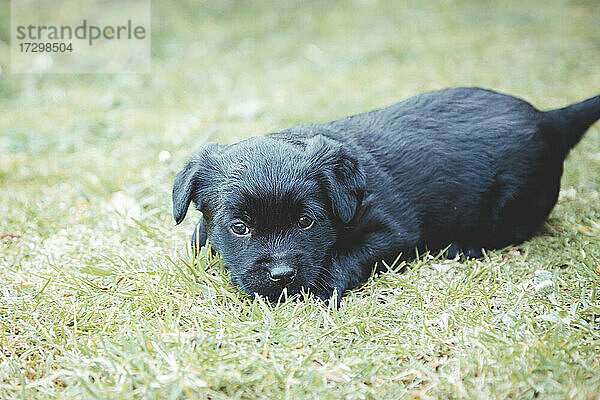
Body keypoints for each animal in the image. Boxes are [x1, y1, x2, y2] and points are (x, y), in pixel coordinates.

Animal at [171, 87, 596, 304]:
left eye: (306, 221)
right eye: (239, 228)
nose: (282, 275)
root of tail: (550, 118)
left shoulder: (393, 232)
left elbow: (346, 254)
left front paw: (320, 288)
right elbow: (200, 237)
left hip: (512, 203)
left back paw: (463, 246)